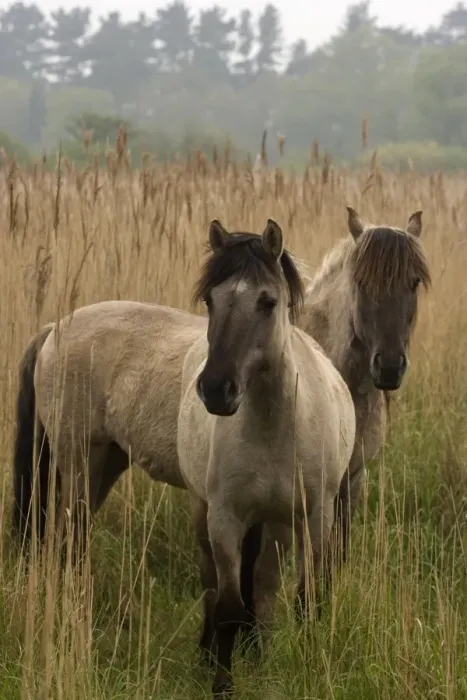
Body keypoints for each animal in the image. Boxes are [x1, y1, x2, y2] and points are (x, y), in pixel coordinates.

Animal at [176, 218, 356, 696]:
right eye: (210, 299)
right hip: (206, 511)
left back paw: (260, 651)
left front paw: (310, 667)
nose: (216, 390)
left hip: (278, 523)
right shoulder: (225, 518)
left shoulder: (315, 517)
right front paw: (222, 683)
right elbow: (227, 606)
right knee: (214, 584)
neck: (275, 428)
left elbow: (304, 597)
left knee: (265, 585)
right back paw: (211, 652)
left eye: (268, 302)